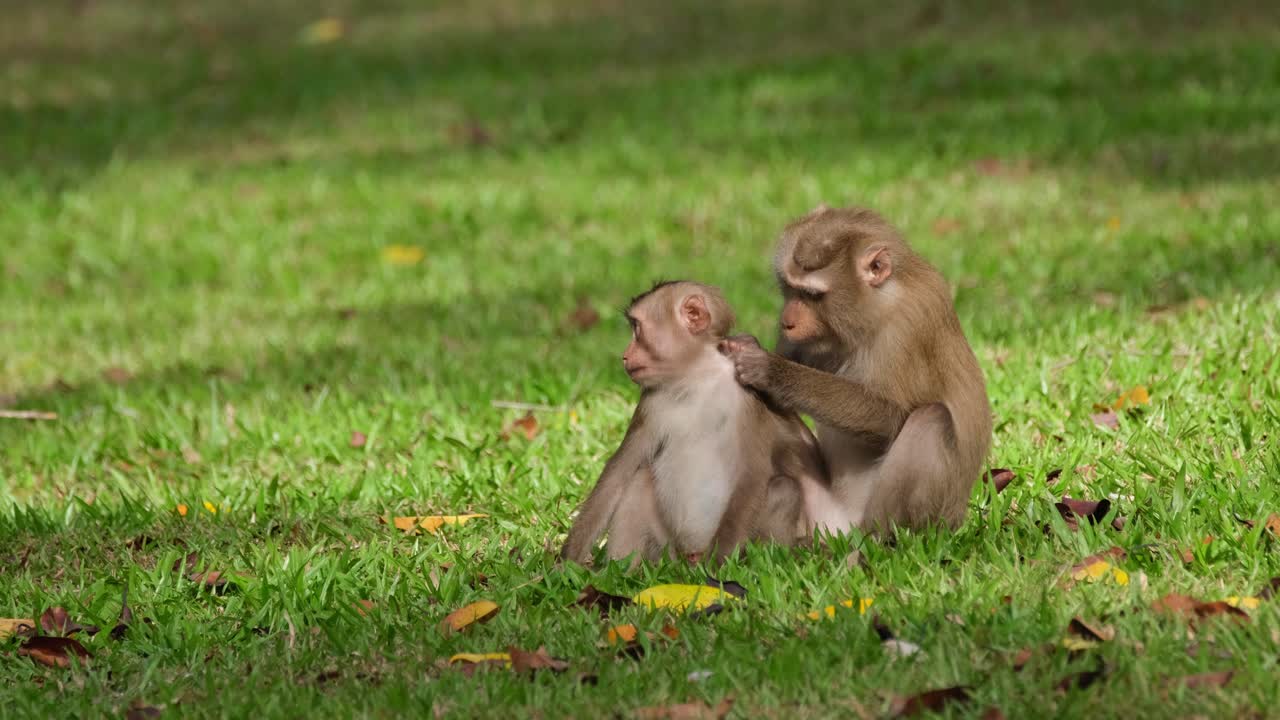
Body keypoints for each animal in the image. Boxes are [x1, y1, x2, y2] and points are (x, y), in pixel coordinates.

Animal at [560, 280, 837, 566]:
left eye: (637, 329)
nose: (625, 356)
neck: (694, 379)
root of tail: (691, 553)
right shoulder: (650, 404)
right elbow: (620, 469)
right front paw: (567, 562)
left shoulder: (747, 399)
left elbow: (752, 474)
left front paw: (716, 566)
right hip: (669, 547)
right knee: (639, 480)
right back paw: (621, 569)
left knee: (784, 490)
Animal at [719, 206, 992, 534]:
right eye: (791, 288)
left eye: (813, 295)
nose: (787, 321)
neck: (875, 307)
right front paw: (748, 346)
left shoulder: (908, 327)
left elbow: (891, 416)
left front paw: (771, 369)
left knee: (931, 419)